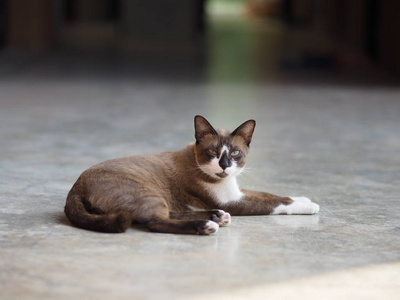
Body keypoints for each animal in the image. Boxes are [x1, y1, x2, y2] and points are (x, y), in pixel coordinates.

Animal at [65, 116, 318, 236]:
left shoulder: (235, 193)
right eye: (213, 153)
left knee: (168, 214)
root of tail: (75, 188)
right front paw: (310, 206)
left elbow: (274, 194)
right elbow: (275, 203)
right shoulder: (233, 201)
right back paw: (207, 225)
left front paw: (305, 198)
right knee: (155, 221)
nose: (224, 166)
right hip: (149, 192)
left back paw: (217, 217)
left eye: (235, 153)